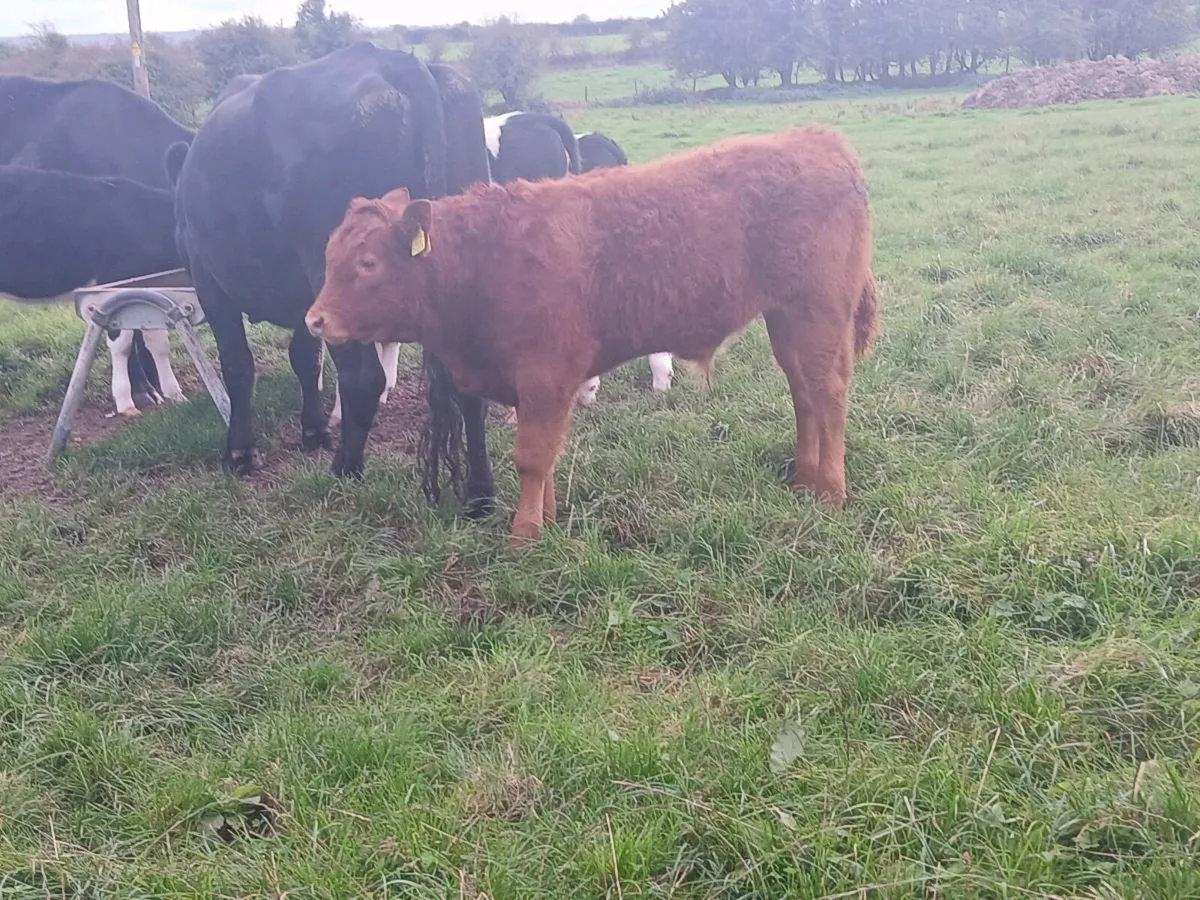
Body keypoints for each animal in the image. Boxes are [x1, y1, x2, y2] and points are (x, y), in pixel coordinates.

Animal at [167, 43, 496, 517]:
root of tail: (394, 59)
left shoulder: (212, 284)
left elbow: (238, 365)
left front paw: (240, 452)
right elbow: (305, 359)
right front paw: (314, 431)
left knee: (364, 377)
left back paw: (346, 467)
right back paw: (480, 494)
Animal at [304, 125, 880, 545]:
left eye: (368, 263)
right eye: (329, 255)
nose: (315, 319)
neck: (486, 256)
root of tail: (817, 139)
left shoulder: (544, 377)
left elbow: (531, 456)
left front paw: (525, 534)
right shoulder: (539, 387)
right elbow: (545, 457)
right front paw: (548, 518)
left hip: (819, 313)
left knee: (829, 394)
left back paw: (831, 491)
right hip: (787, 320)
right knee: (804, 392)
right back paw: (804, 479)